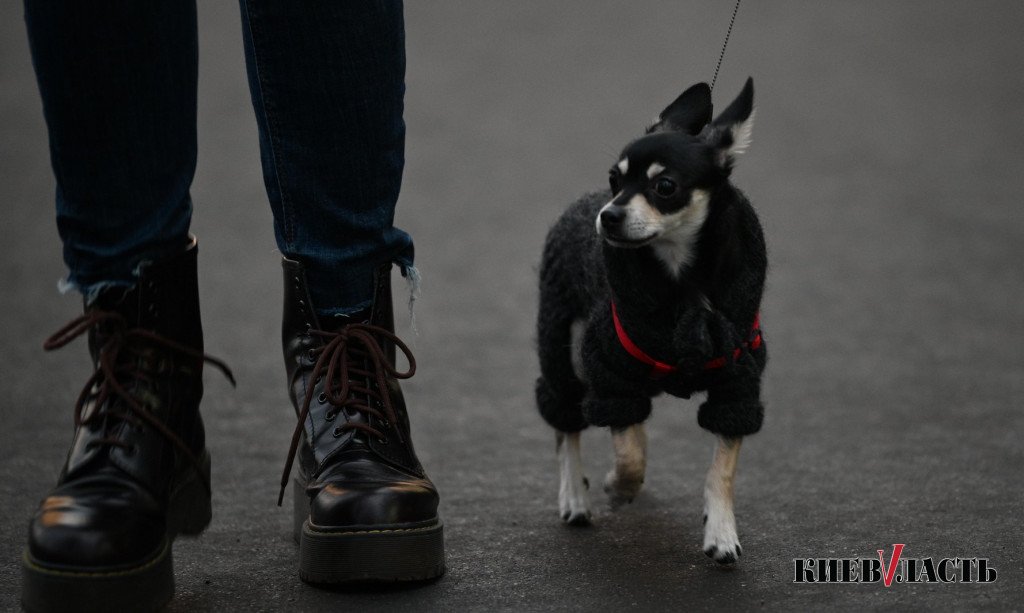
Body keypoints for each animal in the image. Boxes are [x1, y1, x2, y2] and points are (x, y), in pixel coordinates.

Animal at [536, 77, 770, 564]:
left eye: (665, 186)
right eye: (614, 179)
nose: (608, 214)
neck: (684, 282)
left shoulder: (737, 383)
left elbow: (722, 468)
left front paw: (721, 531)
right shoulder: (609, 373)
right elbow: (627, 457)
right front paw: (617, 486)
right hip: (563, 350)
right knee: (568, 423)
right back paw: (576, 496)